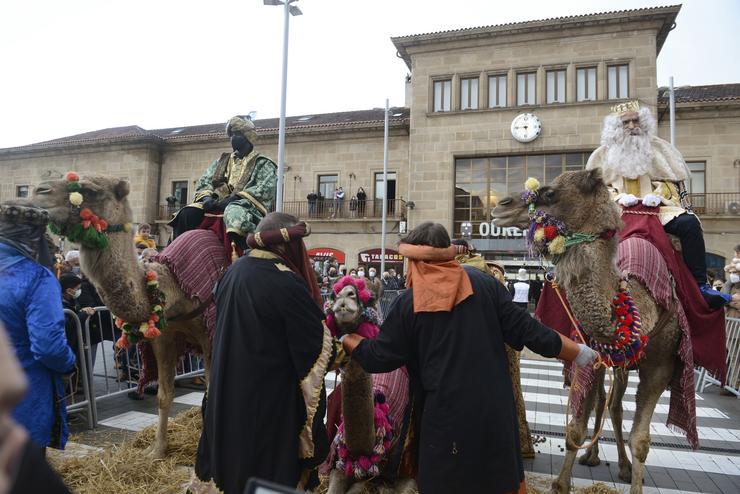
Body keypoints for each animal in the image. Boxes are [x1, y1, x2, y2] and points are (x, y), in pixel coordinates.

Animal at [33, 175, 212, 460]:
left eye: (91, 190)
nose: (38, 191)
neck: (176, 285)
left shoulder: (211, 332)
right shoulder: (165, 335)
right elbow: (164, 394)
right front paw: (156, 450)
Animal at [492, 168, 684, 492]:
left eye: (550, 193)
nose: (499, 206)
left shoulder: (662, 365)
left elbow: (641, 442)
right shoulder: (589, 351)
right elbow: (575, 429)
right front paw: (561, 482)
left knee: (615, 406)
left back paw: (623, 467)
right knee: (606, 403)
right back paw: (594, 456)